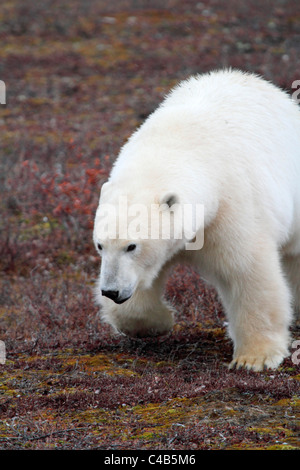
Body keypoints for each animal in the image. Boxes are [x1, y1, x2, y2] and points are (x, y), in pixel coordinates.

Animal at [94, 70, 300, 370]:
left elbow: (247, 271)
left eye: (131, 246)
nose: (110, 290)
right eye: (100, 245)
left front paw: (254, 358)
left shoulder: (229, 206)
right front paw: (157, 322)